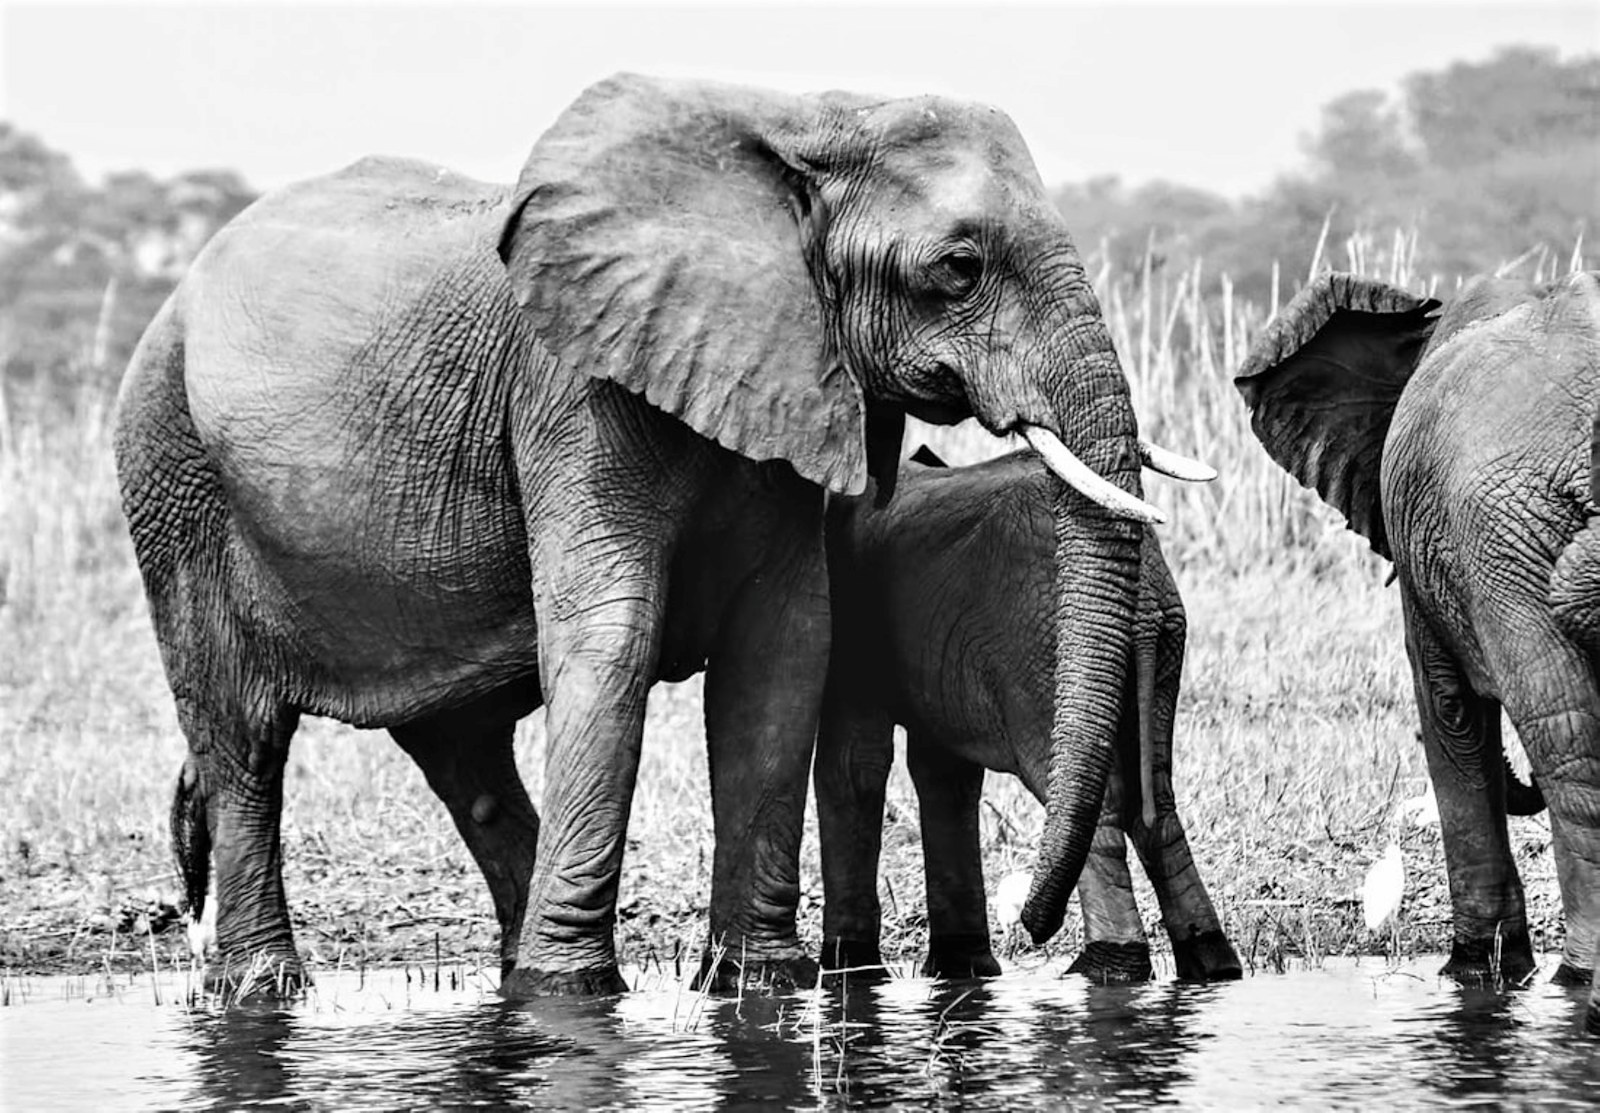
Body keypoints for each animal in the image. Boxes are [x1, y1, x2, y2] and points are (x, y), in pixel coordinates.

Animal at [817, 446, 1241, 983]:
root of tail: (1144, 602)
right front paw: (964, 970)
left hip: (1041, 656)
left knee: (1091, 799)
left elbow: (855, 764)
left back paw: (1104, 969)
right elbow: (942, 774)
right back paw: (1211, 962)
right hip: (1160, 647)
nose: (1030, 925)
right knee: (1158, 803)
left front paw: (850, 972)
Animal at [1236, 270, 1600, 1035]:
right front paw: (1490, 972)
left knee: (1567, 744)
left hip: (1502, 536)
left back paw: (1577, 976)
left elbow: (1447, 710)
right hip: (1511, 535)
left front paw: (1472, 969)